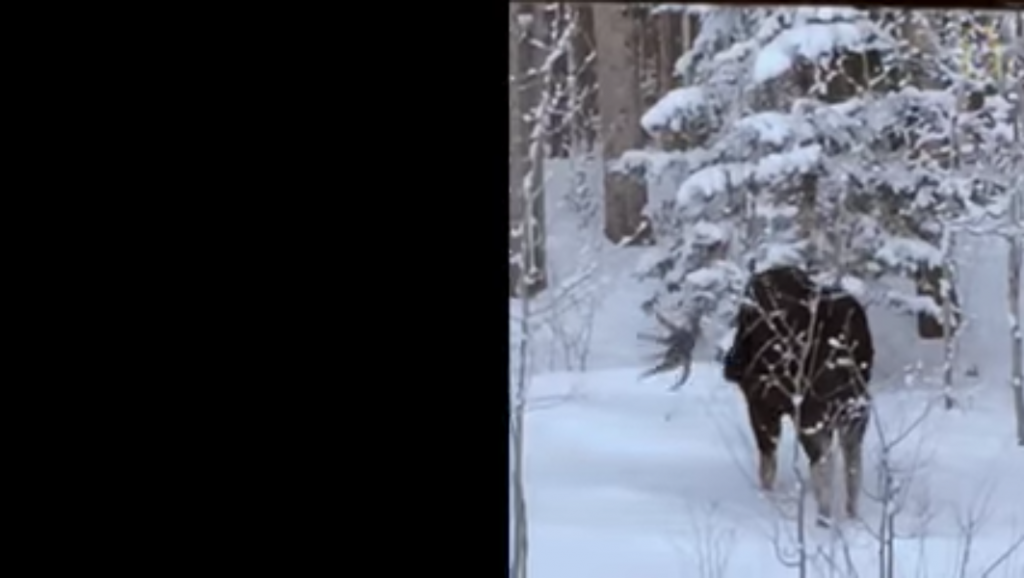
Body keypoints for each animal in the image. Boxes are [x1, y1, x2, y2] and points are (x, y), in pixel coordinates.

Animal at [647, 264, 872, 524]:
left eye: (743, 321)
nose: (731, 364)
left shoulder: (760, 403)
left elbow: (767, 463)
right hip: (857, 408)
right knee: (853, 461)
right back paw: (851, 516)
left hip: (812, 411)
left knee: (824, 462)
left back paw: (824, 519)